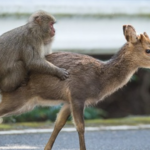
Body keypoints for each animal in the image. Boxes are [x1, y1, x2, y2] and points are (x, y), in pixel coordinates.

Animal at [0, 24, 150, 150]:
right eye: (148, 50)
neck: (99, 79)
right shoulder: (77, 94)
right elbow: (80, 126)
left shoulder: (68, 100)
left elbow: (59, 124)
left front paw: (47, 148)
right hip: (17, 98)